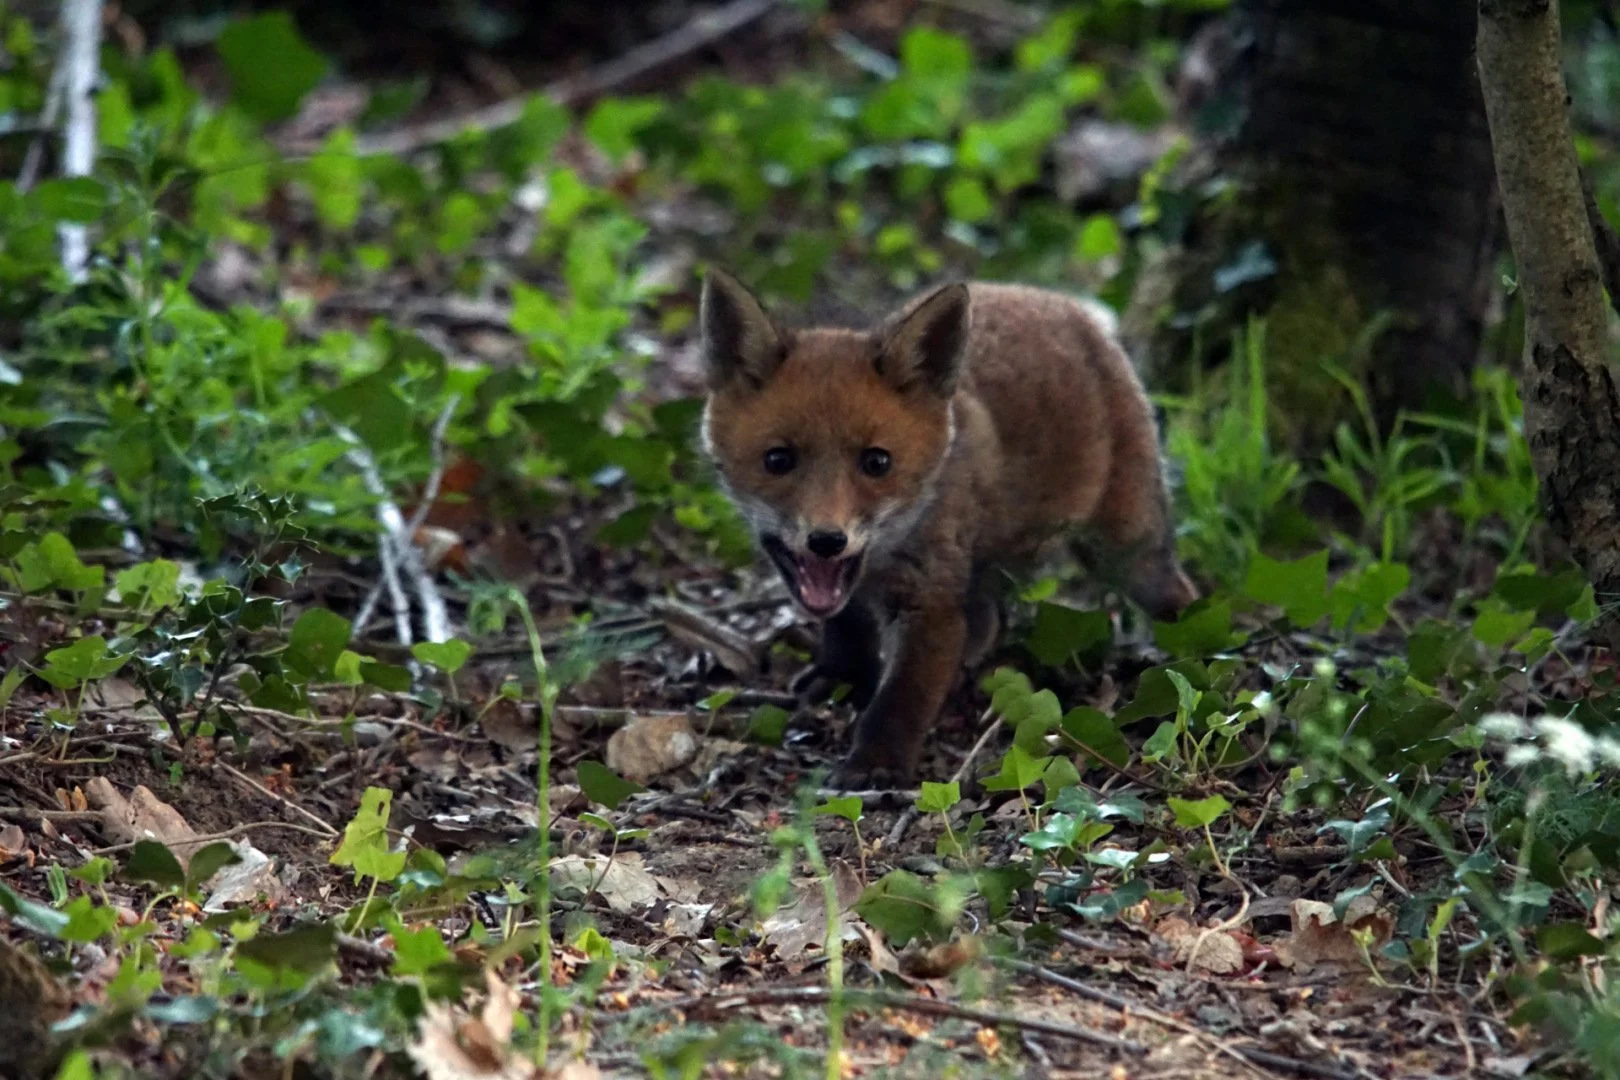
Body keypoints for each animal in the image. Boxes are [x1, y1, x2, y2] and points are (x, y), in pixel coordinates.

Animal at [696, 270, 1198, 788]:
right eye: (778, 460)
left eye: (877, 462)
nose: (827, 540)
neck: (881, 563)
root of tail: (1056, 301)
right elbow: (846, 626)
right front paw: (840, 675)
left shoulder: (930, 605)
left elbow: (901, 698)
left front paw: (877, 761)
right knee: (988, 618)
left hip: (1128, 546)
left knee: (1175, 590)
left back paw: (1191, 650)